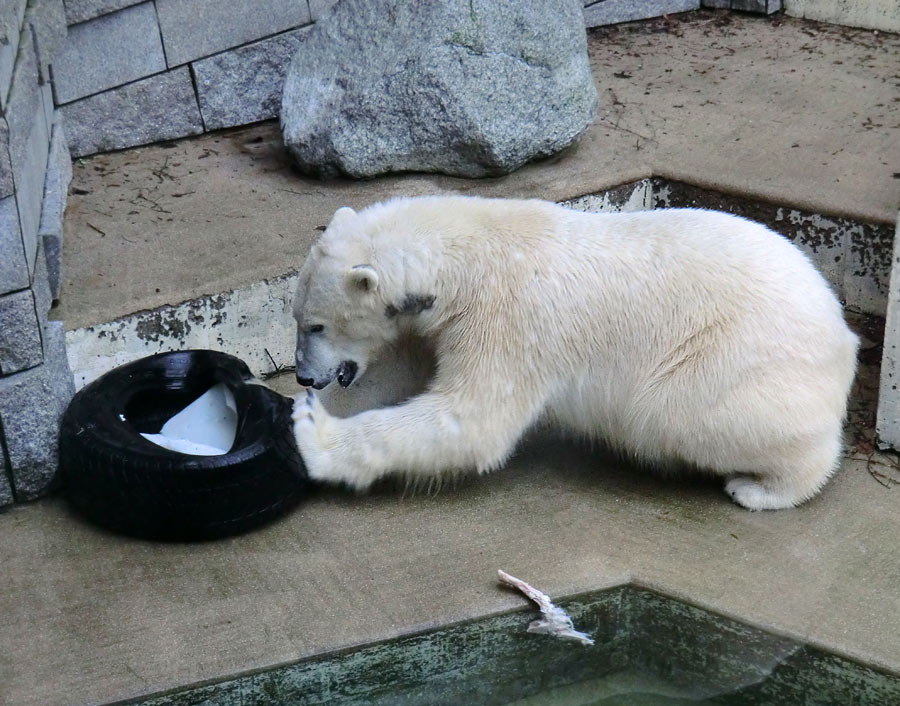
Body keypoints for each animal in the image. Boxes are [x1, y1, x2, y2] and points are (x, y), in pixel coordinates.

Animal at [292, 195, 860, 508]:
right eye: (296, 319)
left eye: (316, 324)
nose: (302, 377)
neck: (462, 256)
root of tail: (842, 334)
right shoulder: (438, 322)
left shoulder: (508, 319)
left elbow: (470, 420)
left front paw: (312, 432)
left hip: (732, 356)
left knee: (684, 414)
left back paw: (761, 489)